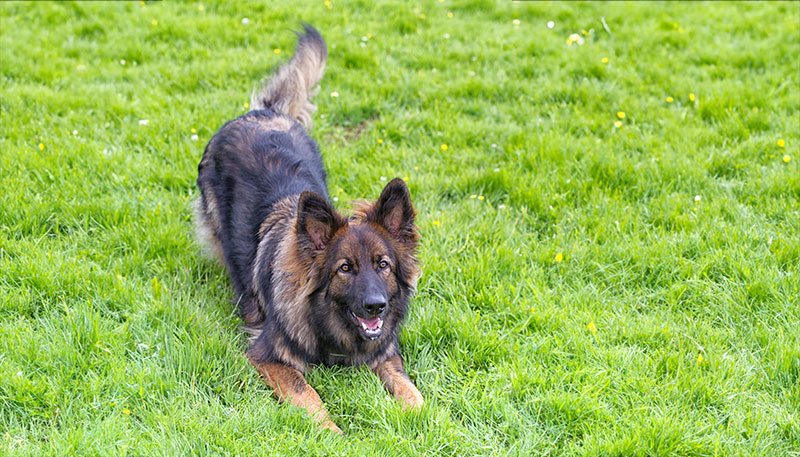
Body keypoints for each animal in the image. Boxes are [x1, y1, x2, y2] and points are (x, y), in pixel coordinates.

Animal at [193, 25, 422, 432]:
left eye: (384, 265)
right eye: (344, 268)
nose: (376, 305)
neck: (330, 329)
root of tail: (264, 112)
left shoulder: (386, 351)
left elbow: (411, 391)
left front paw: (430, 419)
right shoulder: (266, 356)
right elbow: (308, 395)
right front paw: (333, 433)